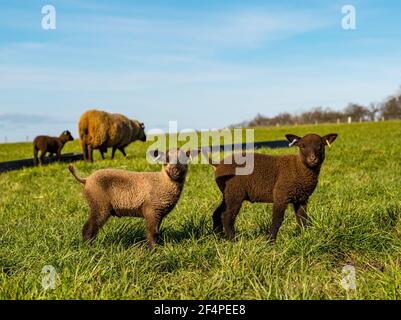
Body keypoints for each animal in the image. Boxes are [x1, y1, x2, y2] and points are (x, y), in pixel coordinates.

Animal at [69, 149, 200, 246]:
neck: (162, 182)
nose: (175, 170)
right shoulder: (151, 211)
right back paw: (89, 247)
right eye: (166, 160)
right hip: (99, 204)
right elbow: (152, 233)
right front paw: (154, 250)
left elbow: (156, 232)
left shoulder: (158, 213)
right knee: (89, 228)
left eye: (184, 159)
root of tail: (86, 180)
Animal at [209, 133, 338, 242]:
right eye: (302, 146)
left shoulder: (301, 199)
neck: (300, 168)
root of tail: (217, 165)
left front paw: (304, 237)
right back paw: (233, 240)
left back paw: (219, 237)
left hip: (227, 193)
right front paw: (270, 241)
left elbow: (302, 219)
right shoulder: (281, 194)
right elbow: (277, 220)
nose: (313, 159)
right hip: (235, 192)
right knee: (227, 216)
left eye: (321, 146)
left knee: (217, 213)